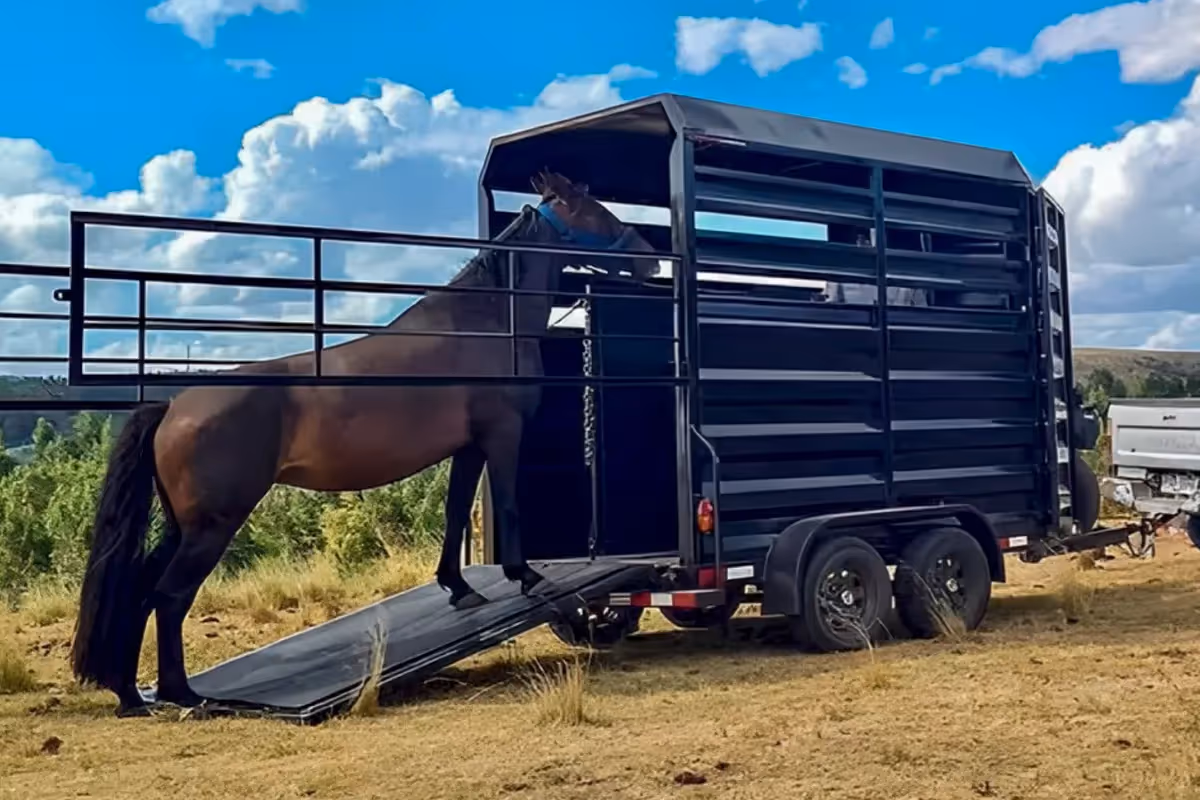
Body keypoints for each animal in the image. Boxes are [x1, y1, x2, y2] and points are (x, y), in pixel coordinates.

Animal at [69, 171, 660, 717]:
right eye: (593, 208)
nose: (650, 259)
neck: (489, 322)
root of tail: (173, 408)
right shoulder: (501, 434)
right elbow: (510, 504)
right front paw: (525, 575)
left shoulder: (467, 446)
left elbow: (453, 513)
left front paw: (459, 587)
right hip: (212, 526)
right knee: (169, 598)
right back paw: (180, 692)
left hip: (182, 526)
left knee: (140, 592)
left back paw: (132, 694)